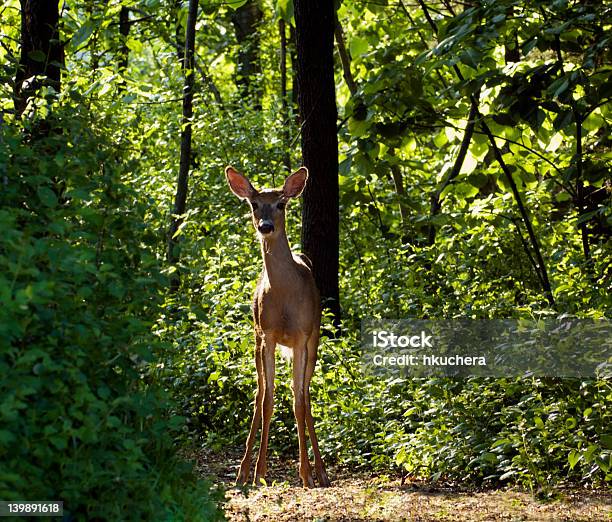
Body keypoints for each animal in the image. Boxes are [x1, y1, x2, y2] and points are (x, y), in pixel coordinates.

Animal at [225, 165, 330, 486]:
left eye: (281, 204)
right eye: (254, 204)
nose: (266, 226)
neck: (284, 297)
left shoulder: (302, 337)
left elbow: (299, 402)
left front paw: (306, 473)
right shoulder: (268, 334)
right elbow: (268, 400)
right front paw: (259, 471)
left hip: (314, 340)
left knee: (306, 396)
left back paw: (322, 471)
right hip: (256, 339)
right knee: (259, 395)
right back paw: (243, 470)